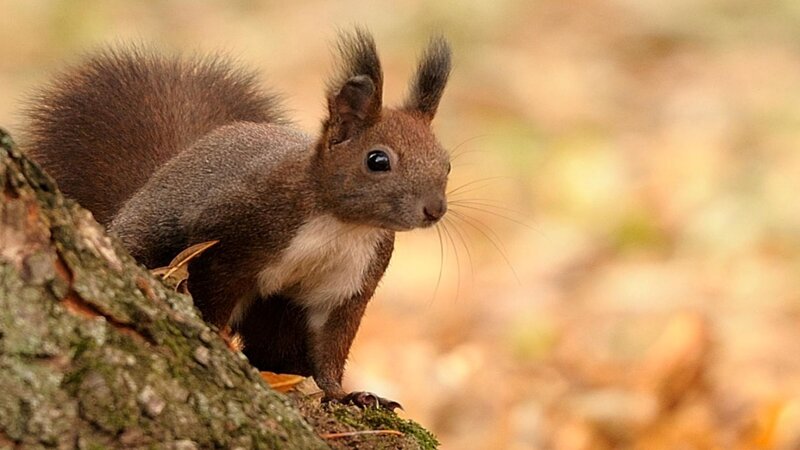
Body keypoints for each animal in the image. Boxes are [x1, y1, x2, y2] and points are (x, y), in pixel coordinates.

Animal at [23, 28, 451, 409]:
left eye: (445, 163)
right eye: (377, 160)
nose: (435, 209)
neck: (340, 226)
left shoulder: (350, 282)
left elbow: (330, 345)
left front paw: (346, 395)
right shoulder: (233, 232)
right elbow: (212, 295)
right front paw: (213, 338)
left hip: (279, 314)